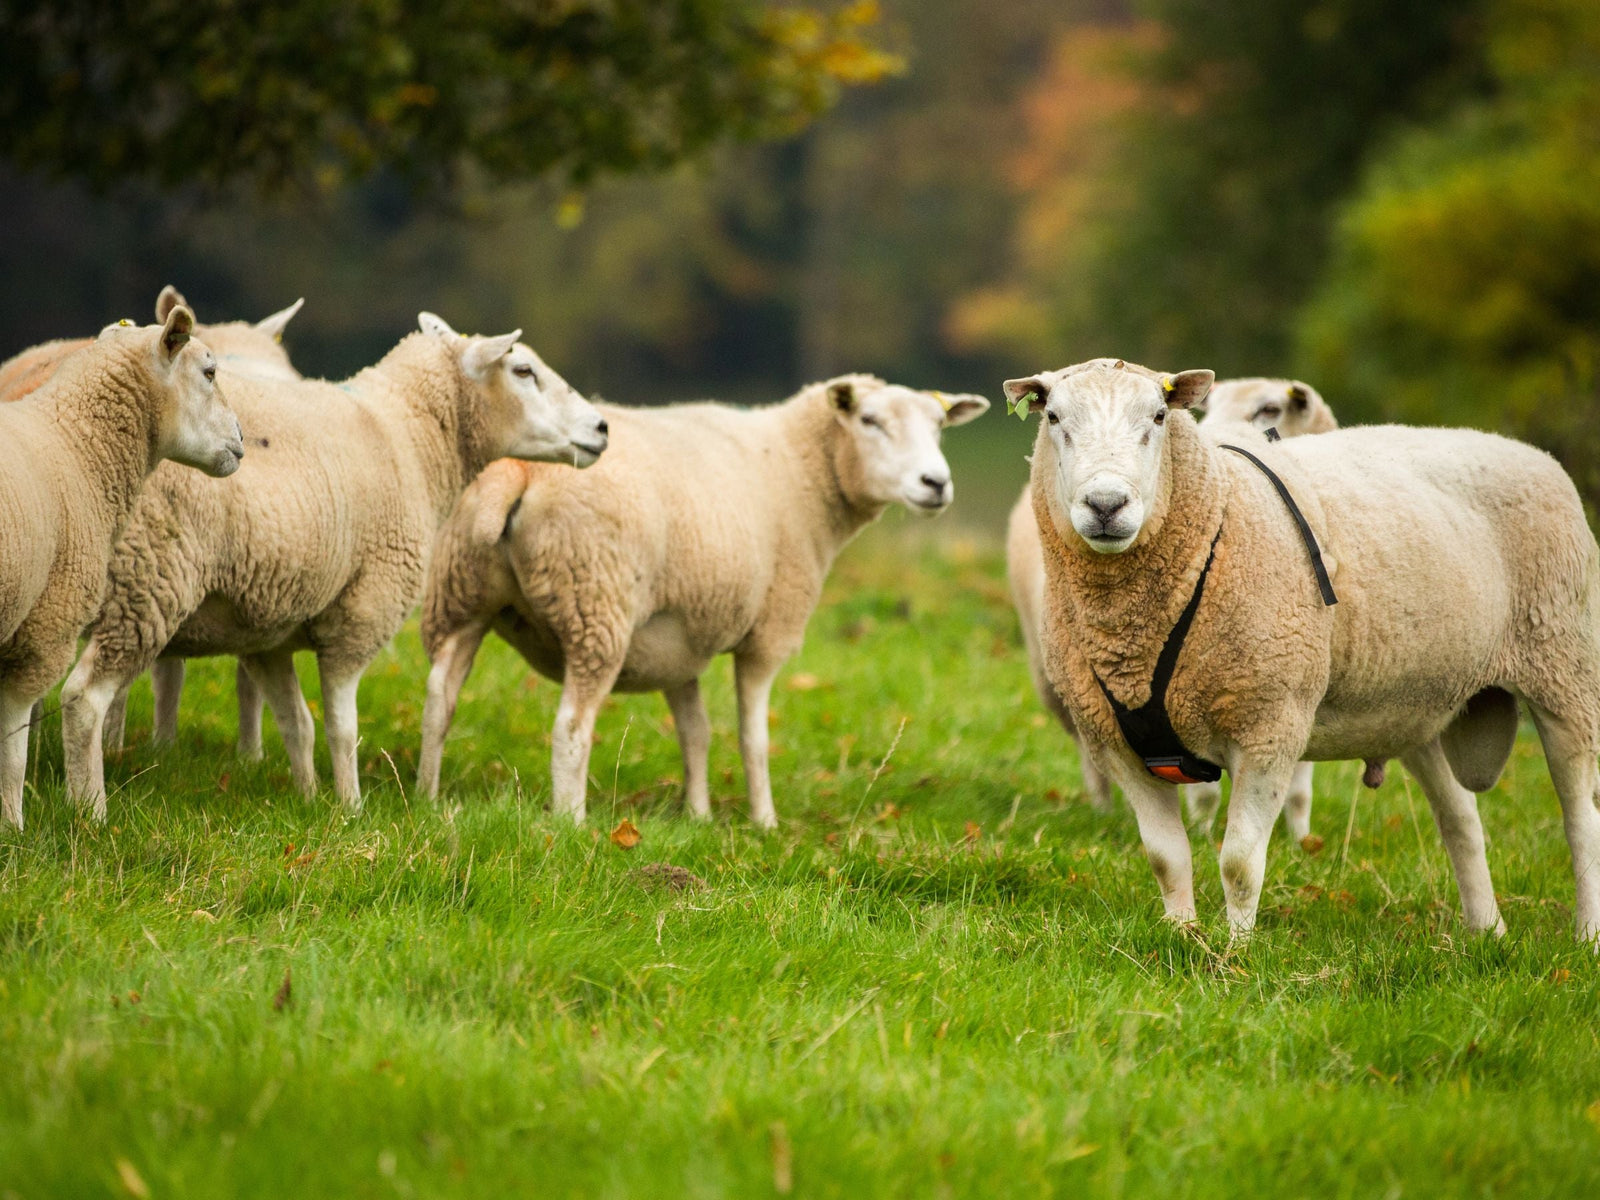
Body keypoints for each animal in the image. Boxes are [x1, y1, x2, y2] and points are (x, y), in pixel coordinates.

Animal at [0, 310, 243, 832]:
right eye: (210, 372)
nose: (241, 439)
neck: (78, 445)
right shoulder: (43, 630)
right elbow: (12, 748)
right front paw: (11, 824)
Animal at [58, 310, 604, 825]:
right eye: (522, 370)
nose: (602, 427)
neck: (409, 436)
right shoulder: (362, 611)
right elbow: (343, 728)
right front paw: (351, 809)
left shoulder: (266, 628)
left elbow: (297, 723)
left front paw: (307, 800)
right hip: (150, 577)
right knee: (84, 698)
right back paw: (89, 811)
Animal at [412, 376, 985, 825]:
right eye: (869, 420)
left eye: (940, 425)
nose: (936, 483)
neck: (799, 471)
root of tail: (520, 471)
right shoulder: (768, 632)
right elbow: (753, 738)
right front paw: (764, 822)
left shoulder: (678, 640)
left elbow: (695, 733)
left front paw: (699, 816)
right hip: (594, 604)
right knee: (571, 728)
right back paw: (572, 824)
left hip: (459, 595)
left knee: (440, 698)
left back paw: (427, 799)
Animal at [1004, 380, 1344, 832]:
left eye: (1271, 408)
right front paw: (1201, 830)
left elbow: (1298, 784)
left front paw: (1300, 838)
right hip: (1053, 677)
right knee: (1092, 758)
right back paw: (1103, 812)